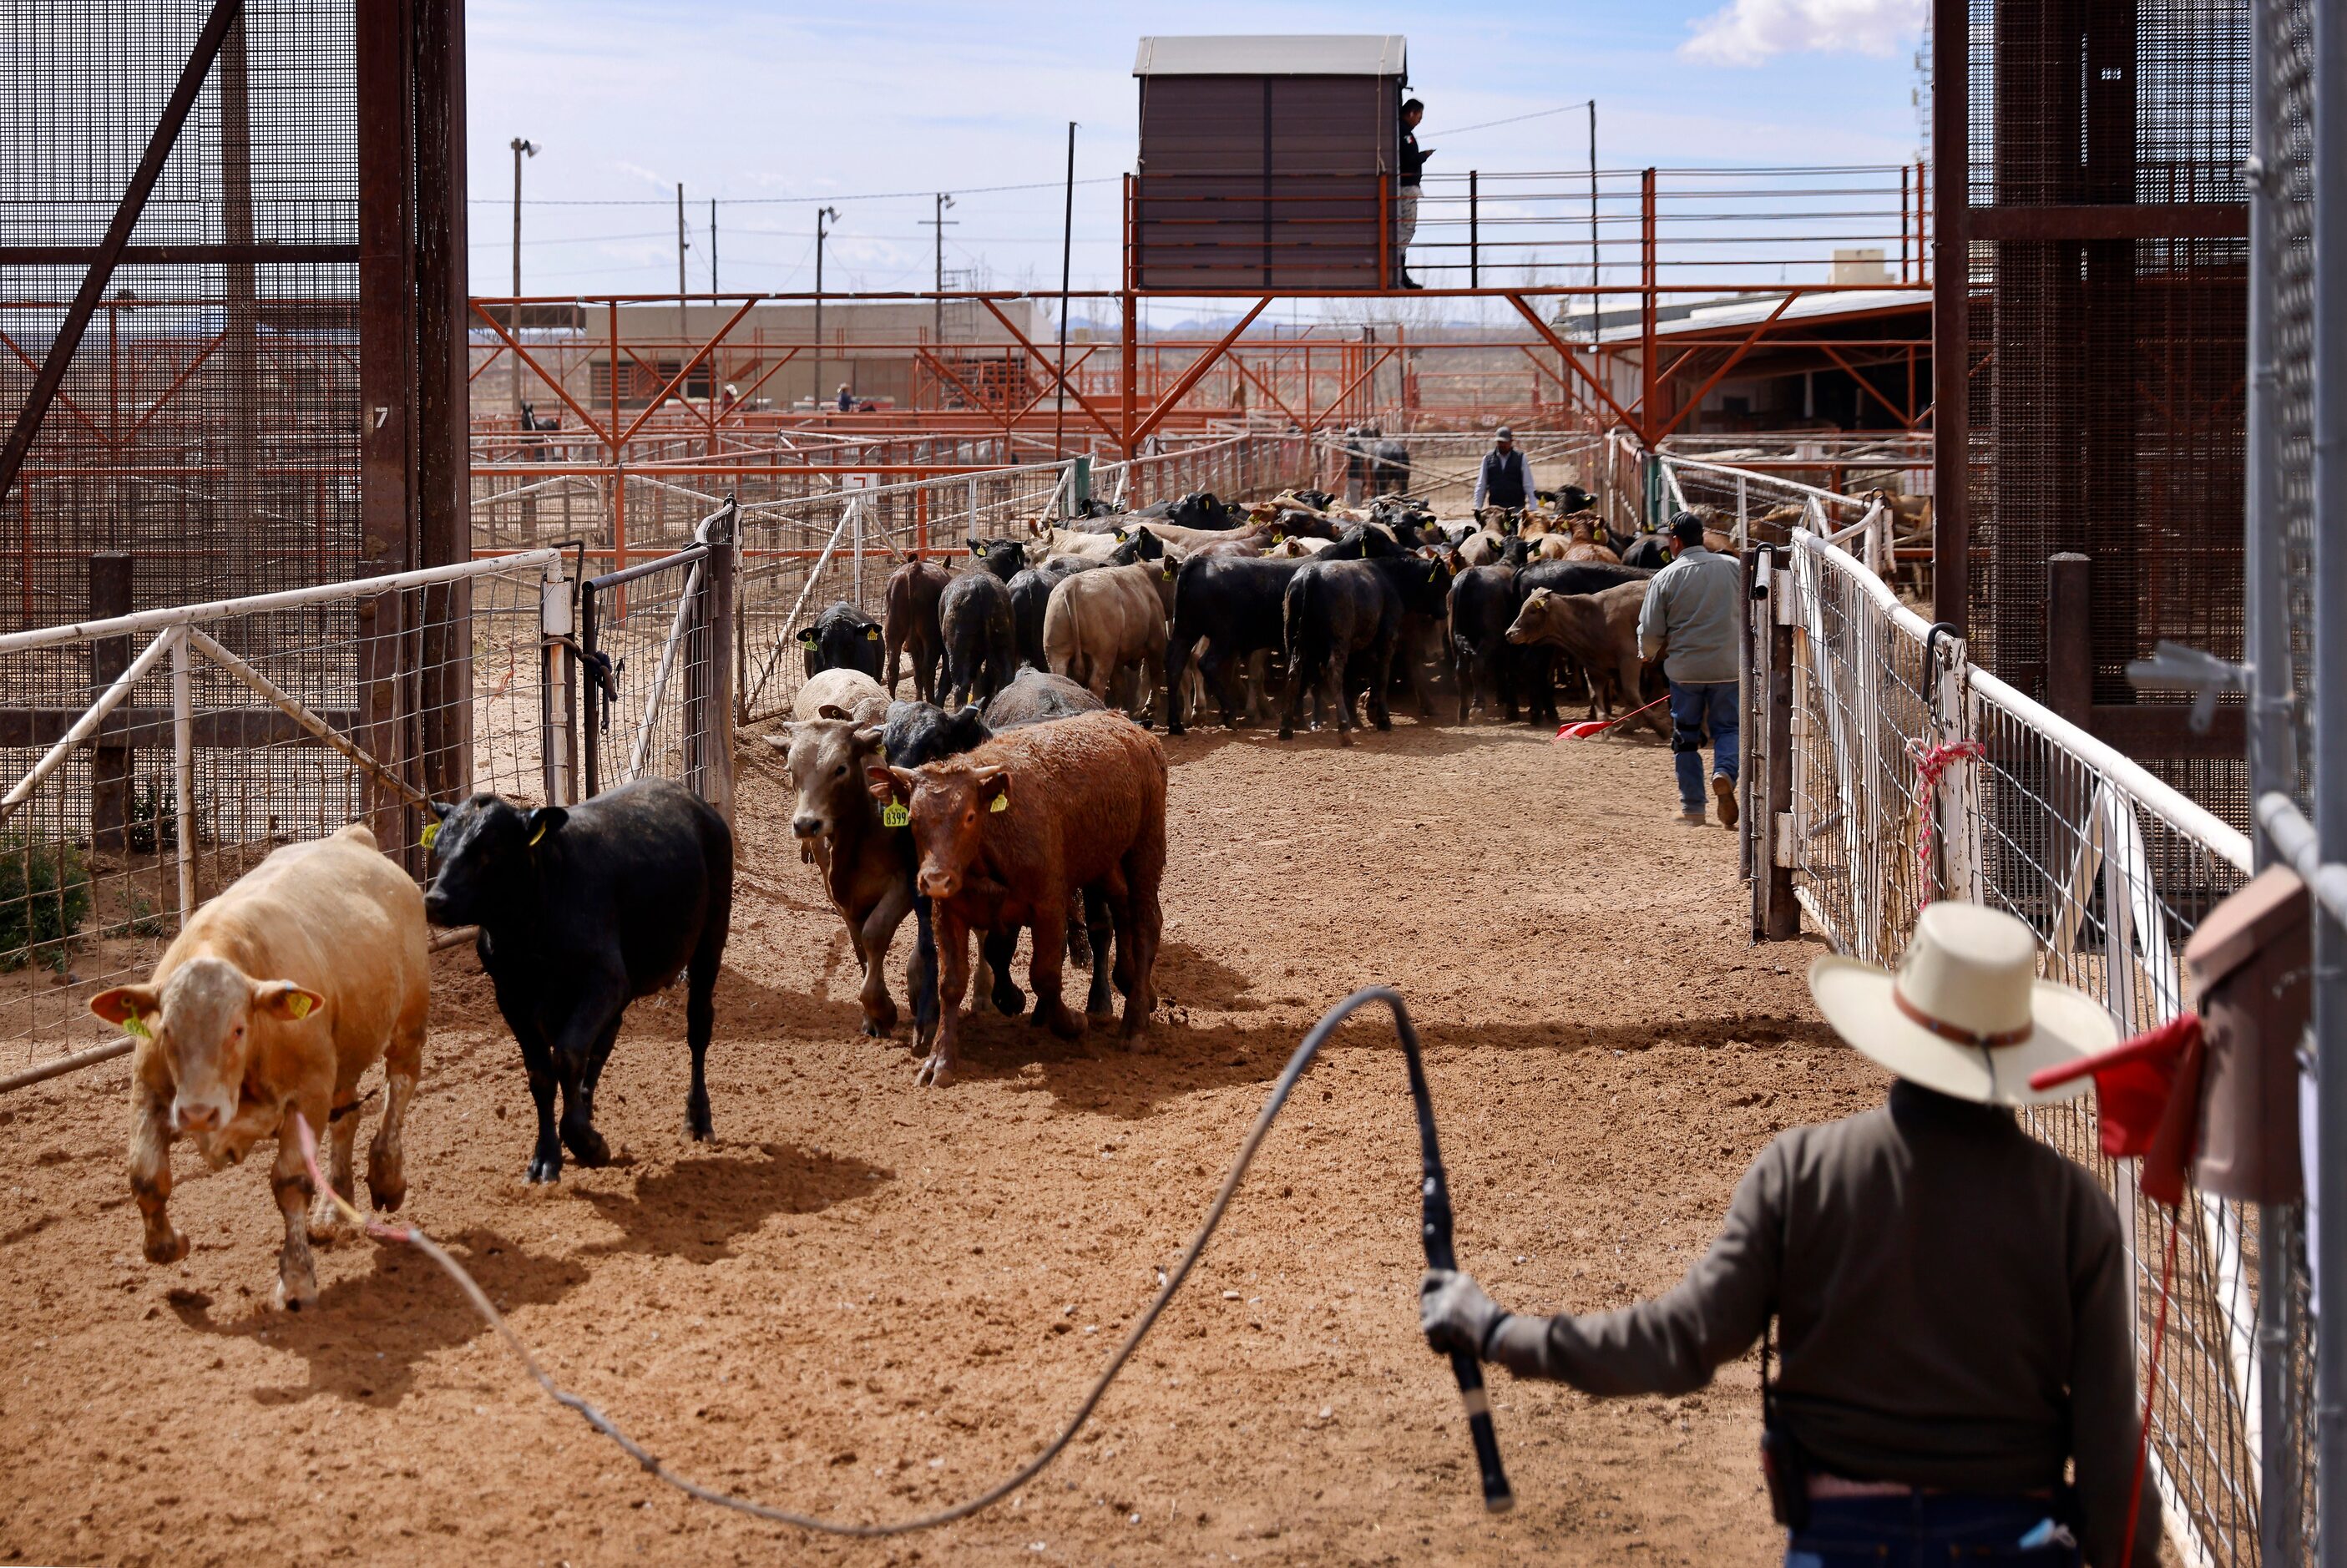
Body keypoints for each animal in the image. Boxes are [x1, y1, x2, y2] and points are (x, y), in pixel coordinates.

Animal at [90, 821, 432, 1314]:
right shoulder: (149, 1092)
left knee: (400, 1086)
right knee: (346, 1118)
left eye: (237, 1028)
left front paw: (296, 1279)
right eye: (167, 1028)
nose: (198, 1113)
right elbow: (146, 1176)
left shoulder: (306, 1094)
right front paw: (167, 1244)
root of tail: (354, 836)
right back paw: (334, 1211)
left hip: (409, 1019)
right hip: (342, 1054)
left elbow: (290, 1183)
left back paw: (387, 1175)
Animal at [422, 779, 727, 1182]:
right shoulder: (511, 996)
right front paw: (546, 1156)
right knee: (605, 1040)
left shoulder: (605, 980)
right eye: (439, 847)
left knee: (698, 1028)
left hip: (710, 943)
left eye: (489, 850)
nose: (435, 901)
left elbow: (567, 1055)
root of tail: (694, 800)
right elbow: (542, 1074)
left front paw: (587, 1142)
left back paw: (698, 1119)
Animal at [1046, 554, 1182, 718]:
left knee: (1061, 678)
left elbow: (1120, 686)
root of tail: (1072, 585)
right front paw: (1150, 707)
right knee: (1096, 683)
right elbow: (1155, 674)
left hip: (1058, 653)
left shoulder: (1118, 658)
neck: (1150, 579)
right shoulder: (1156, 644)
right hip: (1103, 654)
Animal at [1164, 551, 1314, 736]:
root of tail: (1200, 562)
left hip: (1186, 631)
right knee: (1206, 664)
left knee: (1175, 665)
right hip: (1223, 637)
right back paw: (1229, 715)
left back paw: (1176, 724)